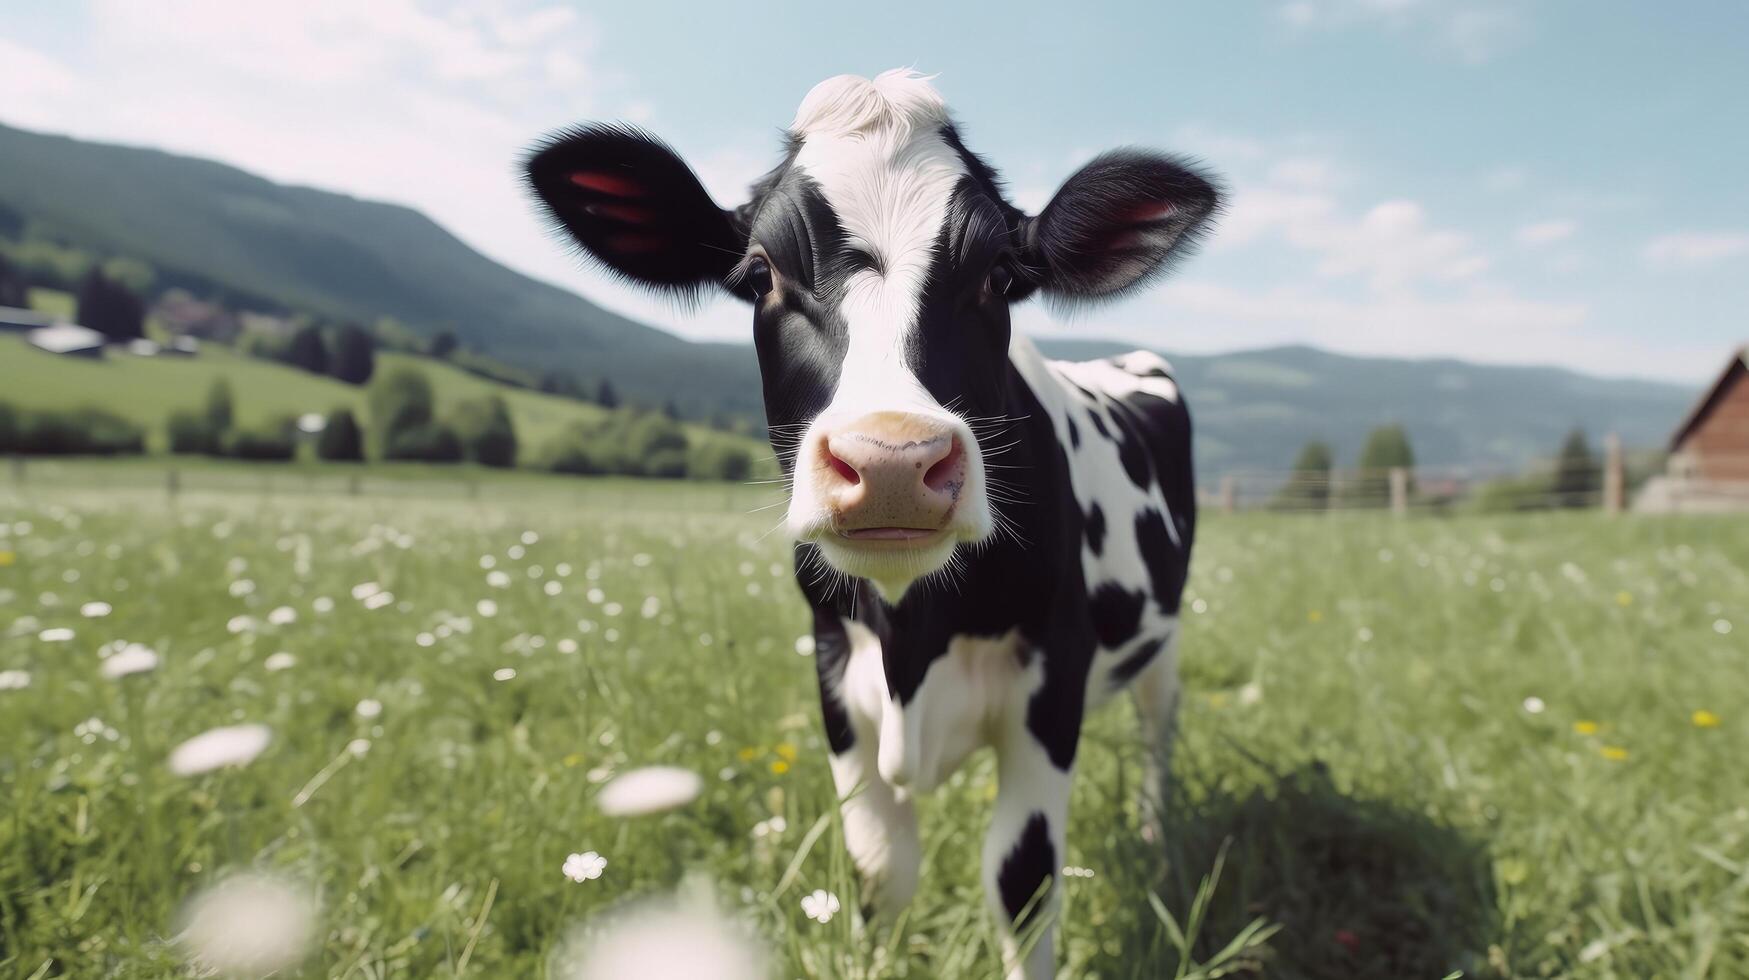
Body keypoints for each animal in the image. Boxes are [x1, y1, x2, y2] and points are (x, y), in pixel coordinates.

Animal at [524, 70, 1224, 980]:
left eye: (1001, 274)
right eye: (760, 274)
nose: (892, 461)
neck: (910, 640)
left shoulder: (1052, 680)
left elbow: (1022, 880)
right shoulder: (833, 674)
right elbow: (878, 867)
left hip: (1163, 640)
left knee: (1156, 730)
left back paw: (1151, 833)